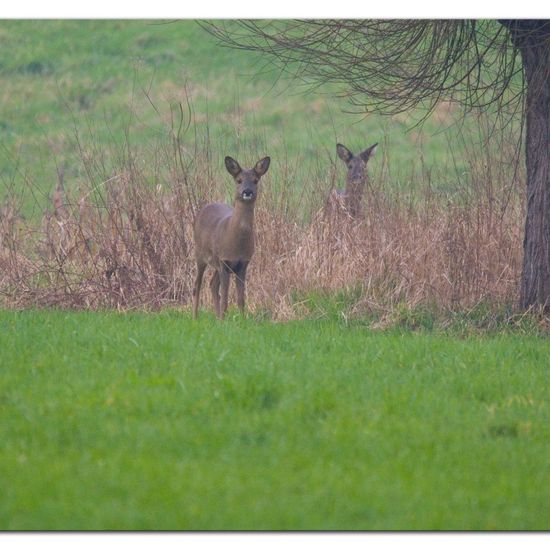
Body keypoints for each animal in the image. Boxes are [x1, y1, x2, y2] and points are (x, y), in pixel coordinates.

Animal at [193, 154, 272, 320]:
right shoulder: (224, 262)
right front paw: (225, 320)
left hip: (216, 262)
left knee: (212, 285)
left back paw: (217, 317)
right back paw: (195, 318)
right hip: (199, 254)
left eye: (255, 180)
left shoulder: (243, 264)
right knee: (197, 285)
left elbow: (241, 298)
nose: (247, 191)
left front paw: (241, 320)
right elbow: (225, 297)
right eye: (239, 180)